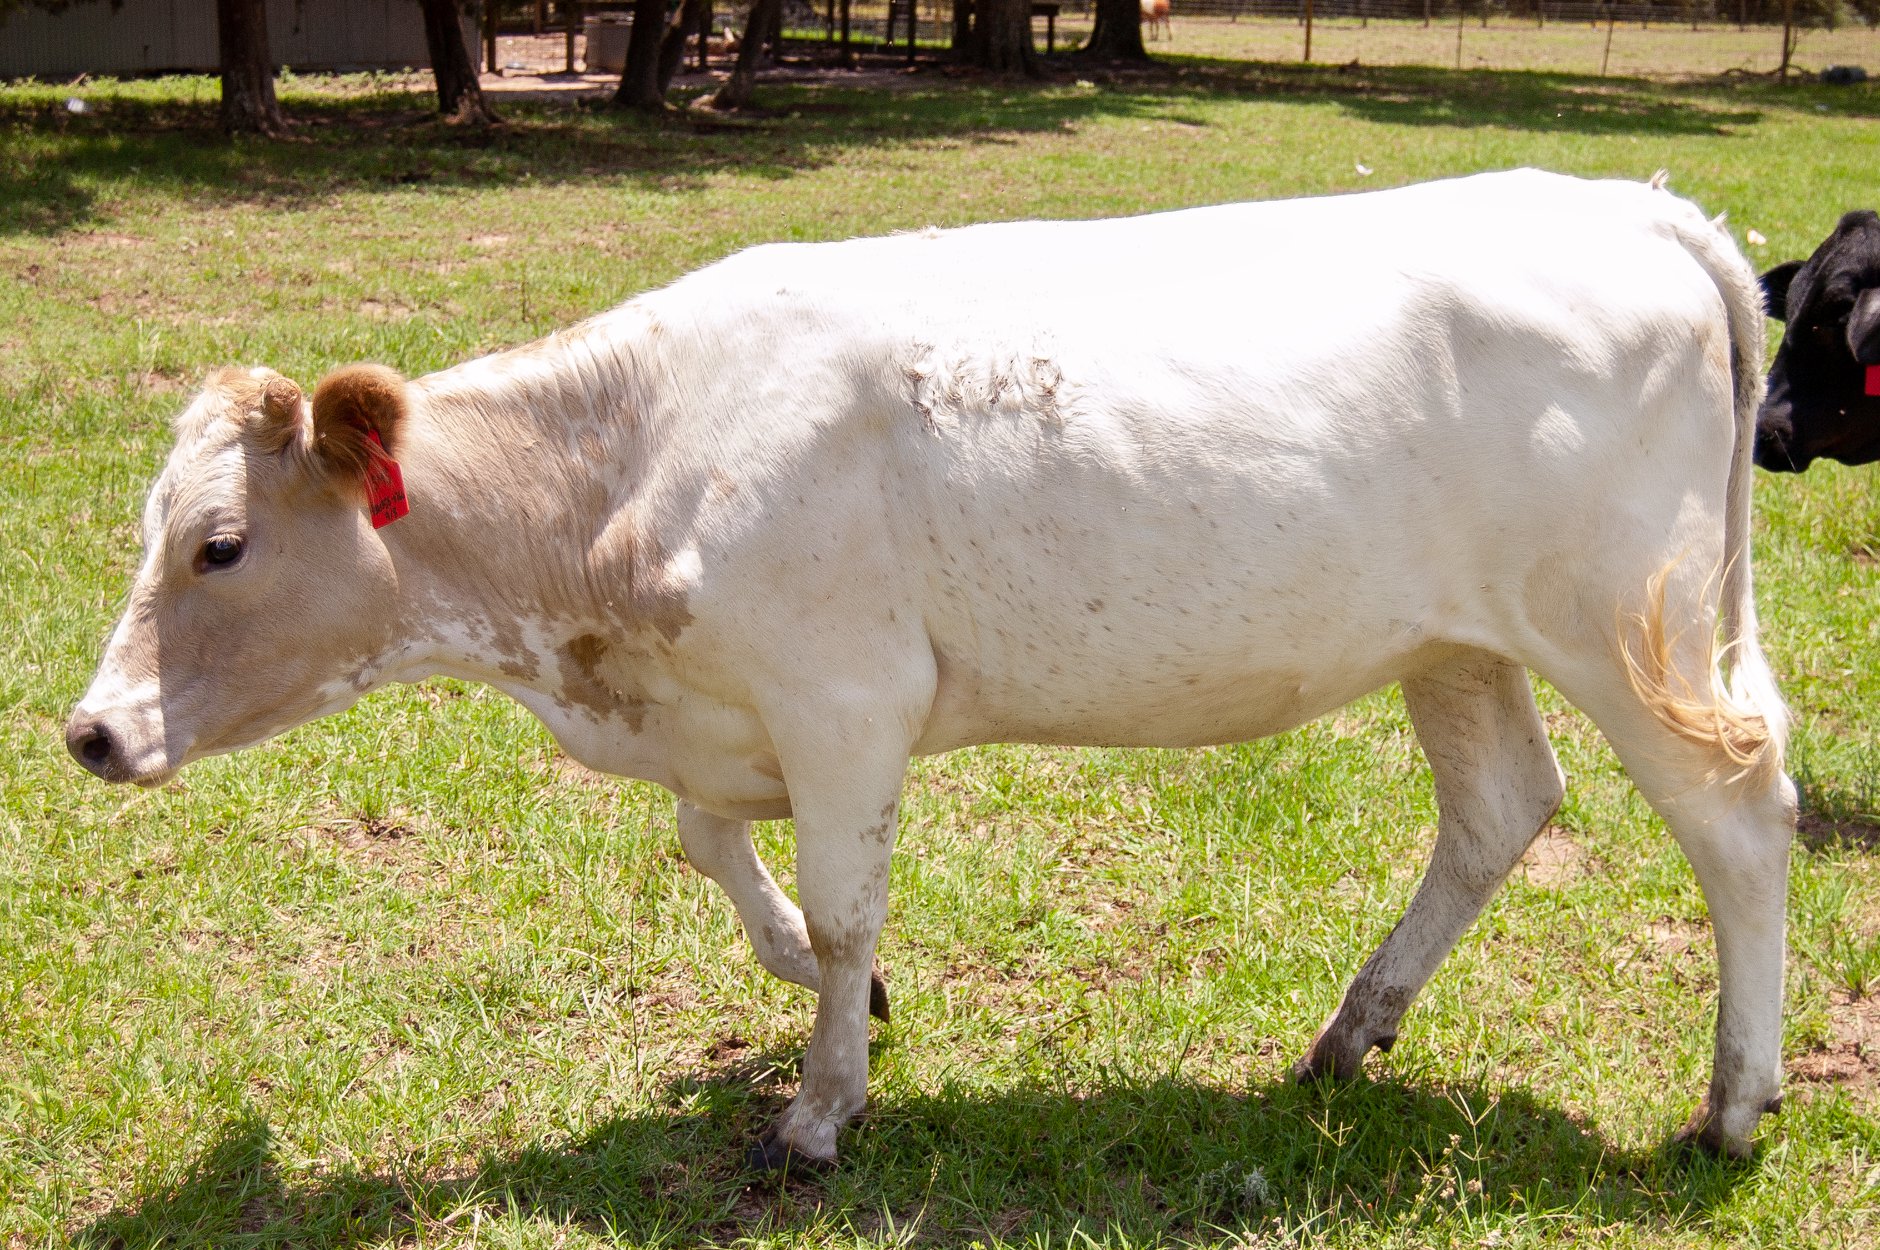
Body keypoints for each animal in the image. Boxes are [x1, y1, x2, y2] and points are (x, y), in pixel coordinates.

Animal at [67, 169, 1797, 1170]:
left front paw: (821, 1106)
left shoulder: (846, 698)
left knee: (1740, 816)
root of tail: (1630, 204)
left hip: (1625, 625)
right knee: (1501, 806)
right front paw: (807, 975)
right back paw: (1348, 1032)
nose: (90, 730)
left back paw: (1733, 1102)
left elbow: (845, 909)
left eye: (219, 543)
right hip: (1453, 635)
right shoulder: (734, 707)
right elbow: (714, 843)